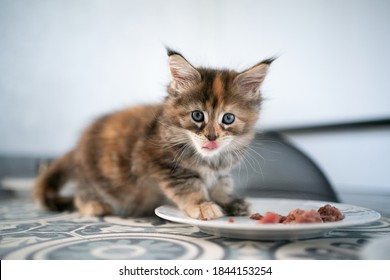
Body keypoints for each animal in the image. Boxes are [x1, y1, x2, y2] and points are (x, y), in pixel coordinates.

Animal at [33, 49, 272, 219]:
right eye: (197, 116)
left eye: (228, 119)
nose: (212, 137)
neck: (209, 161)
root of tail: (78, 145)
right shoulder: (165, 166)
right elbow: (190, 187)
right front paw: (203, 205)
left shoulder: (221, 172)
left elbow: (223, 184)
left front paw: (229, 201)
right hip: (94, 173)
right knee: (83, 191)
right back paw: (94, 205)